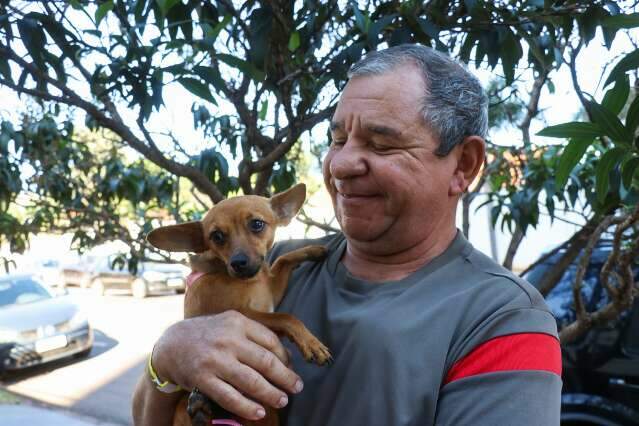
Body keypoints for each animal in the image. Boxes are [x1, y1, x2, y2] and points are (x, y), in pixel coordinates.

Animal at [147, 183, 332, 426]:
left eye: (257, 224)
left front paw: (312, 250)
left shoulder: (271, 292)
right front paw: (312, 343)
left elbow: (283, 260)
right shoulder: (242, 312)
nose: (238, 263)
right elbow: (285, 317)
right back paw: (201, 408)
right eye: (216, 236)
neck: (251, 280)